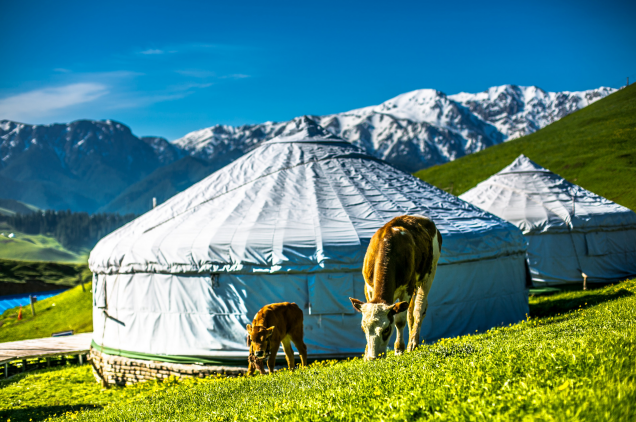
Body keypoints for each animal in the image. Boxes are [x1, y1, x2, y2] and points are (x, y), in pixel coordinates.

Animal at [348, 216, 442, 362]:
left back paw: (413, 342)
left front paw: (399, 349)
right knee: (410, 311)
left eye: (386, 329)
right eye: (363, 328)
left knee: (419, 308)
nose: (374, 358)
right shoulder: (368, 287)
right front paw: (366, 353)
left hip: (429, 273)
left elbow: (399, 321)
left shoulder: (407, 287)